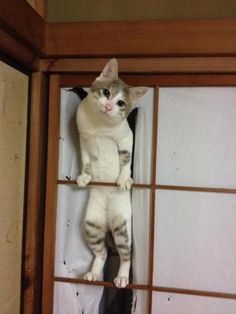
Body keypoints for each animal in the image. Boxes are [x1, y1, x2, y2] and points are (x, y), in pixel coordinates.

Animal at [76, 57, 148, 288]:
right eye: (106, 92)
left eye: (121, 103)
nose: (108, 107)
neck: (100, 126)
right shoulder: (83, 139)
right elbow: (86, 160)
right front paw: (84, 176)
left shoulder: (126, 138)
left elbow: (125, 160)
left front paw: (124, 179)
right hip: (92, 224)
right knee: (103, 252)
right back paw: (93, 272)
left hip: (122, 224)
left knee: (126, 253)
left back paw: (123, 277)